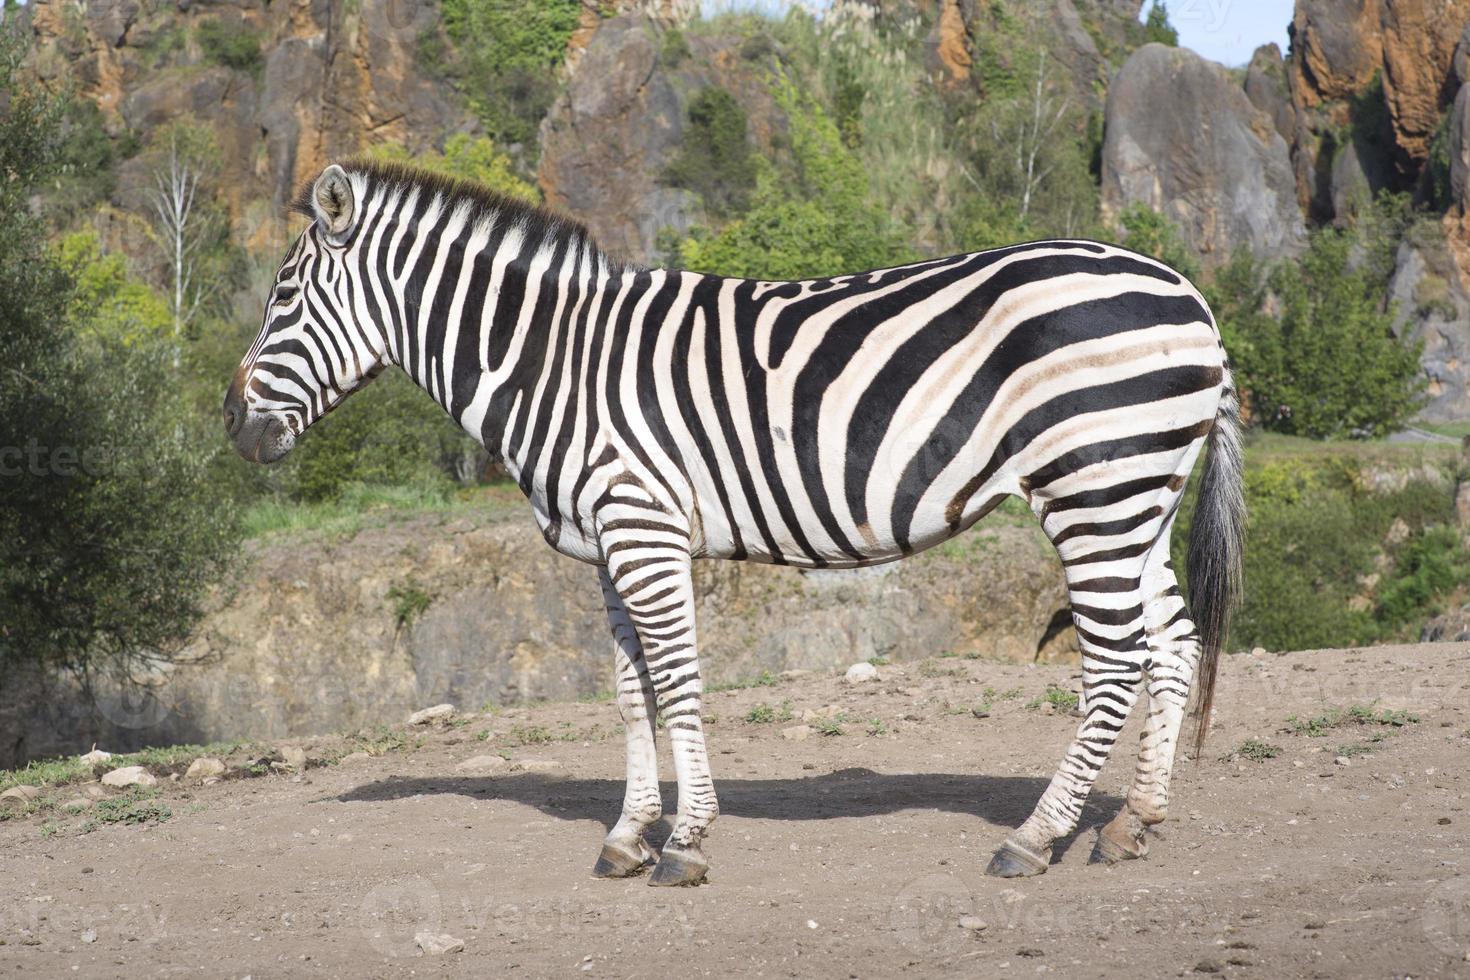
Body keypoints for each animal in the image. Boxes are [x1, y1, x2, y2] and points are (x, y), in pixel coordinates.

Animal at [226, 163, 1240, 887]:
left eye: (282, 299)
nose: (230, 426)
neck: (557, 362)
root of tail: (1189, 294)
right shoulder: (608, 544)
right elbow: (630, 691)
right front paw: (627, 836)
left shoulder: (645, 527)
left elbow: (676, 682)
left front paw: (684, 842)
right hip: (1136, 495)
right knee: (1173, 644)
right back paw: (1133, 824)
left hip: (1094, 488)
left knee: (1115, 661)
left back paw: (1035, 839)